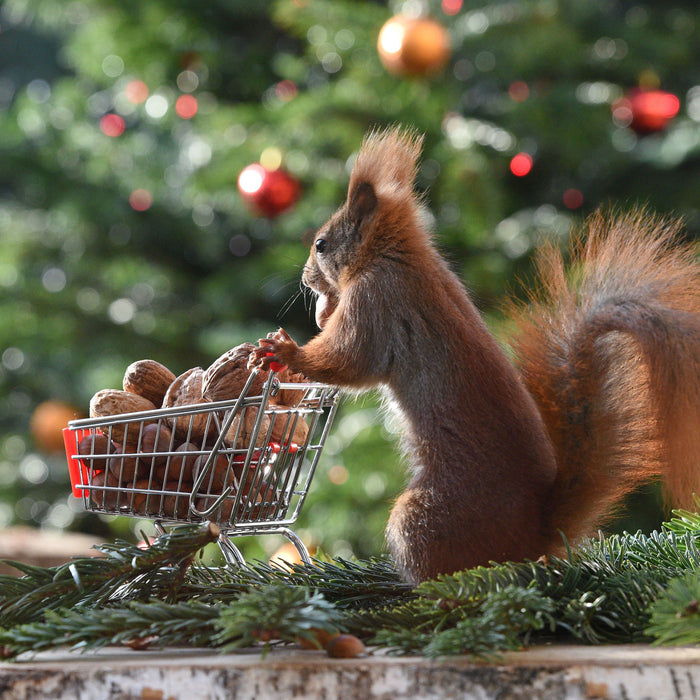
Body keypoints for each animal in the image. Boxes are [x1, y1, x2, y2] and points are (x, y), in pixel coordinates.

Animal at [254, 127, 700, 584]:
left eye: (321, 244)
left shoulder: (377, 300)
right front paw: (322, 313)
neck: (396, 256)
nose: (306, 279)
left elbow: (349, 360)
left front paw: (286, 350)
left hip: (422, 517)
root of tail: (534, 535)